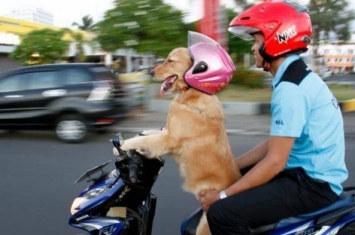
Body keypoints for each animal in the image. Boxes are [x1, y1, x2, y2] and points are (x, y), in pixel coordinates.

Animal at [116, 43, 242, 233]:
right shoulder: (166, 132)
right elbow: (147, 134)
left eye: (170, 60)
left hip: (204, 228)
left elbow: (144, 140)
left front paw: (122, 146)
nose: (150, 72)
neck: (191, 94)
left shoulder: (169, 139)